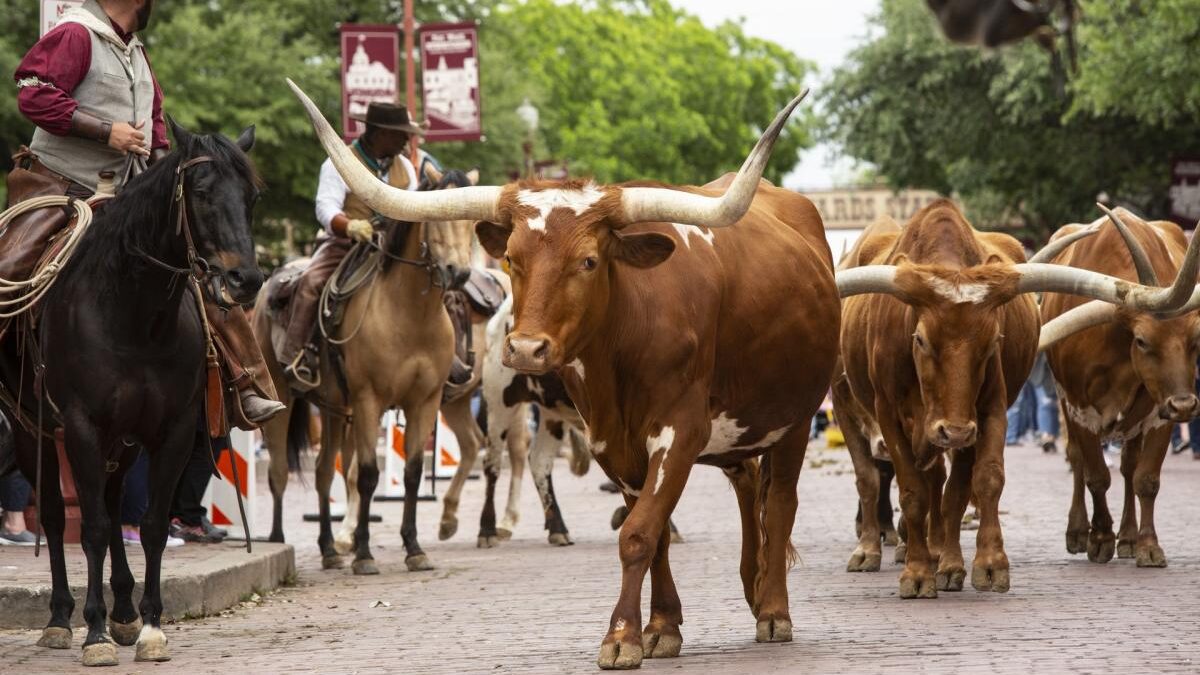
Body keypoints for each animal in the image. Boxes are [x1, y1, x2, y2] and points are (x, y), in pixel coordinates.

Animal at [6, 119, 260, 662]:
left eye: (251, 195)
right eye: (201, 192)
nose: (245, 279)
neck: (133, 312)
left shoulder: (172, 431)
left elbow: (150, 526)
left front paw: (149, 627)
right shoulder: (82, 427)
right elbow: (94, 527)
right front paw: (95, 632)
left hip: (121, 443)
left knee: (115, 499)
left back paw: (122, 611)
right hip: (28, 426)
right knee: (58, 517)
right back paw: (60, 618)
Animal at [255, 165, 475, 569]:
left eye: (472, 224)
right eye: (436, 220)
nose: (459, 273)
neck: (411, 314)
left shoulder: (424, 402)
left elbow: (412, 473)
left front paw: (413, 548)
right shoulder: (369, 400)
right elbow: (369, 476)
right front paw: (363, 552)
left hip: (334, 410)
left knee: (324, 471)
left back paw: (328, 548)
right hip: (283, 401)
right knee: (280, 473)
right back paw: (277, 541)